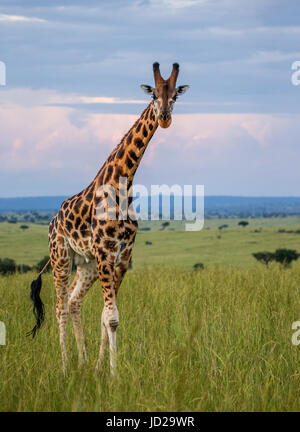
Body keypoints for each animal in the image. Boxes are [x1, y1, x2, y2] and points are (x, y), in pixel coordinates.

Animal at [27, 61, 188, 374]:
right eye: (153, 96)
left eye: (174, 96)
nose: (164, 118)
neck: (121, 184)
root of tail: (52, 222)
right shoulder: (105, 251)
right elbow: (111, 317)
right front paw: (114, 374)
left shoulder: (122, 255)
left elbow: (105, 315)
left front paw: (101, 367)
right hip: (60, 257)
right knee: (60, 307)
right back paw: (65, 366)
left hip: (85, 264)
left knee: (74, 302)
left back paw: (83, 361)